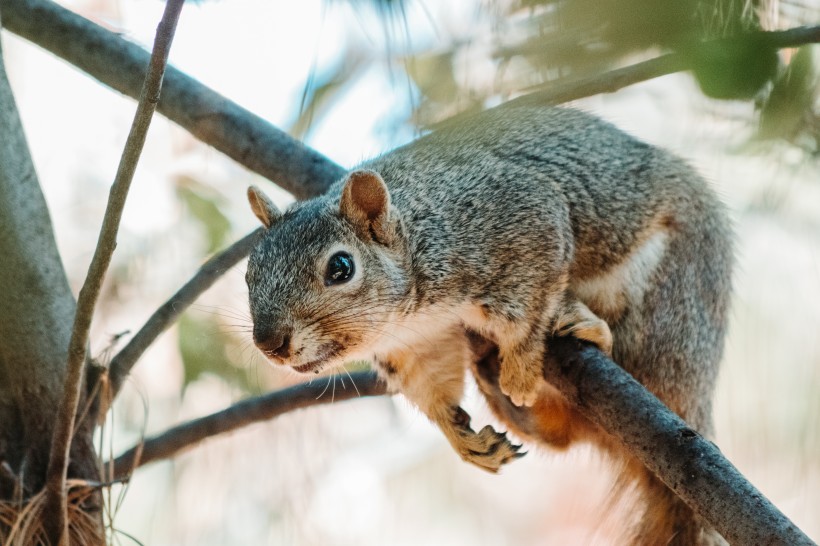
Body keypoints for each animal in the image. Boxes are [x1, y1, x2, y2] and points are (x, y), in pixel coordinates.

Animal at [242, 104, 732, 540]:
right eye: (249, 273)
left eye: (341, 268)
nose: (270, 342)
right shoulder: (417, 342)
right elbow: (432, 382)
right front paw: (459, 436)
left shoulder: (518, 219)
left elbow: (530, 306)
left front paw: (521, 366)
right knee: (562, 435)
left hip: (670, 308)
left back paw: (577, 333)